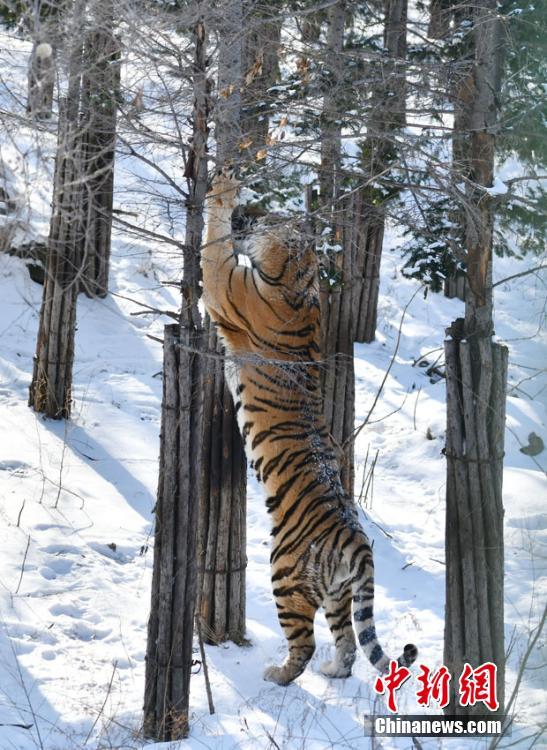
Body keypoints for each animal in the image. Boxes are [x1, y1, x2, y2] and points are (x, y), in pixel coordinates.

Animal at [201, 169, 420, 688]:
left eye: (264, 217)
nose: (248, 212)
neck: (301, 276)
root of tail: (359, 543)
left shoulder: (225, 284)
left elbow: (212, 245)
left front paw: (223, 185)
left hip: (286, 574)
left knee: (303, 644)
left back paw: (277, 674)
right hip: (340, 594)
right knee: (348, 645)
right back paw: (332, 671)